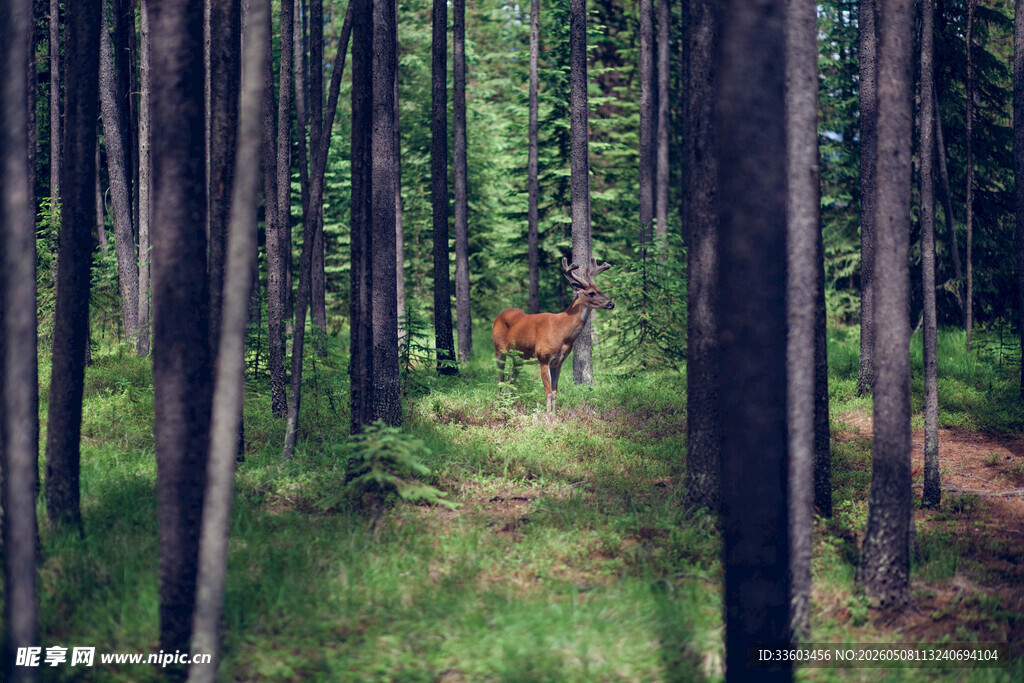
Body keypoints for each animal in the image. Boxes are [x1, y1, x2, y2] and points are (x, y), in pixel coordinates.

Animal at [492, 257, 614, 413]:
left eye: (601, 290)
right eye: (592, 292)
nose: (611, 304)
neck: (562, 331)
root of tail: (498, 315)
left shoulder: (558, 361)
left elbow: (555, 391)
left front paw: (554, 414)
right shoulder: (543, 356)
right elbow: (548, 391)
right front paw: (547, 415)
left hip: (518, 357)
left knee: (511, 379)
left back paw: (510, 406)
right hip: (498, 349)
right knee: (499, 379)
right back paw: (498, 406)